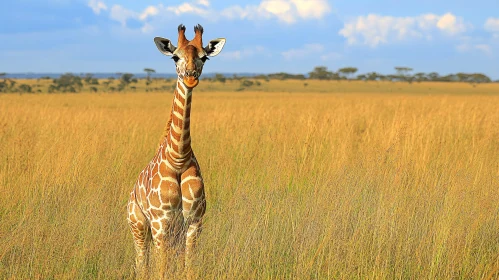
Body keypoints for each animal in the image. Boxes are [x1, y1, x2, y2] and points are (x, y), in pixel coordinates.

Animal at [127, 23, 227, 278]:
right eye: (175, 56)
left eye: (204, 57)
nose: (190, 77)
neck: (179, 157)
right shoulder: (160, 222)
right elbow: (161, 269)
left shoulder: (194, 222)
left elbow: (188, 267)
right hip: (139, 226)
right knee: (142, 264)